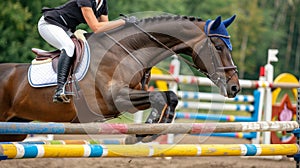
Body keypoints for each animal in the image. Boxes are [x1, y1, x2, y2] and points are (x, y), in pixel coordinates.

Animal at [0, 14, 240, 142]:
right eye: (219, 47)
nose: (235, 87)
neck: (127, 50)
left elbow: (170, 96)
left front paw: (150, 132)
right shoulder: (114, 98)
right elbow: (163, 95)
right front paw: (145, 131)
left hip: (16, 127)